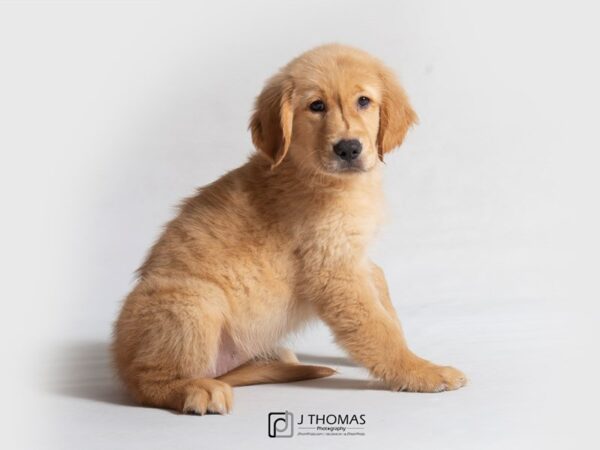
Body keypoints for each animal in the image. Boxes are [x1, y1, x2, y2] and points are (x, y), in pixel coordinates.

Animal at [113, 43, 468, 414]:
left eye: (364, 101)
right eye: (316, 106)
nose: (348, 148)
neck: (314, 173)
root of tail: (118, 360)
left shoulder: (355, 255)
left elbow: (385, 303)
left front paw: (412, 353)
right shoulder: (335, 271)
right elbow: (376, 329)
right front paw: (421, 371)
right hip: (194, 301)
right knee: (146, 382)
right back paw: (196, 390)